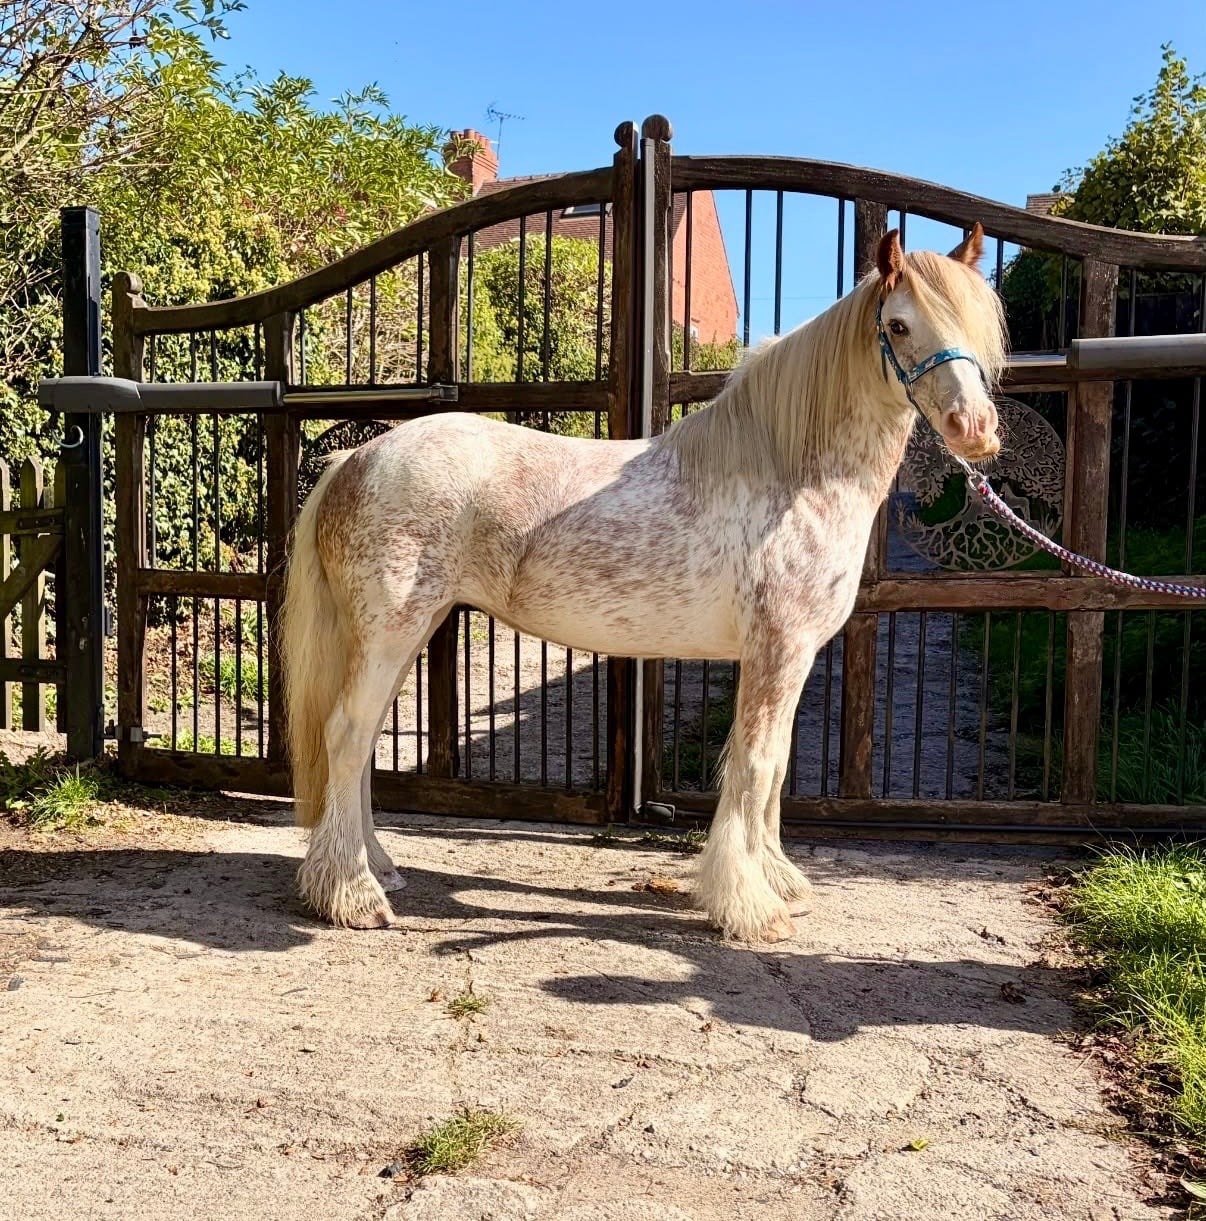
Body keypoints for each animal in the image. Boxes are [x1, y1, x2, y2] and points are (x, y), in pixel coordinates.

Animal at [280, 223, 1006, 944]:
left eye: (977, 324)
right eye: (900, 325)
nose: (974, 430)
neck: (790, 473)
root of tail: (356, 458)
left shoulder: (790, 656)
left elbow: (772, 770)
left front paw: (778, 883)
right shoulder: (777, 650)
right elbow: (756, 765)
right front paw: (750, 907)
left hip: (408, 632)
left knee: (363, 740)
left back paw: (379, 867)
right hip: (390, 632)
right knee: (346, 734)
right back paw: (353, 895)